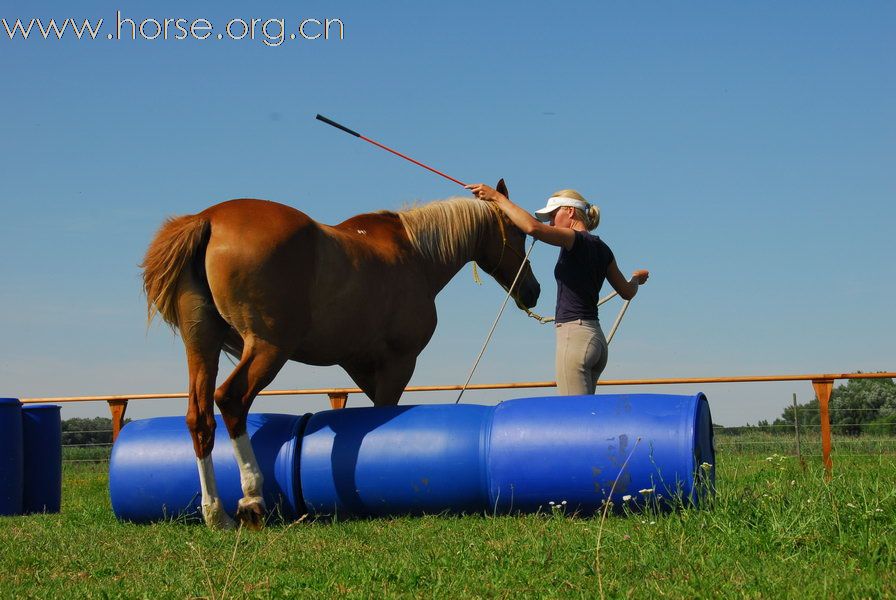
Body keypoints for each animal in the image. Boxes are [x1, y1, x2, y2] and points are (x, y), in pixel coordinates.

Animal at [142, 179, 540, 528]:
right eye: (517, 232)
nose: (532, 291)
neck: (415, 253)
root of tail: (207, 219)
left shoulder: (359, 366)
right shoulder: (398, 364)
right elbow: (384, 411)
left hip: (202, 346)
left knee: (200, 417)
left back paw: (215, 512)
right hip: (268, 348)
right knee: (232, 399)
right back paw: (251, 499)